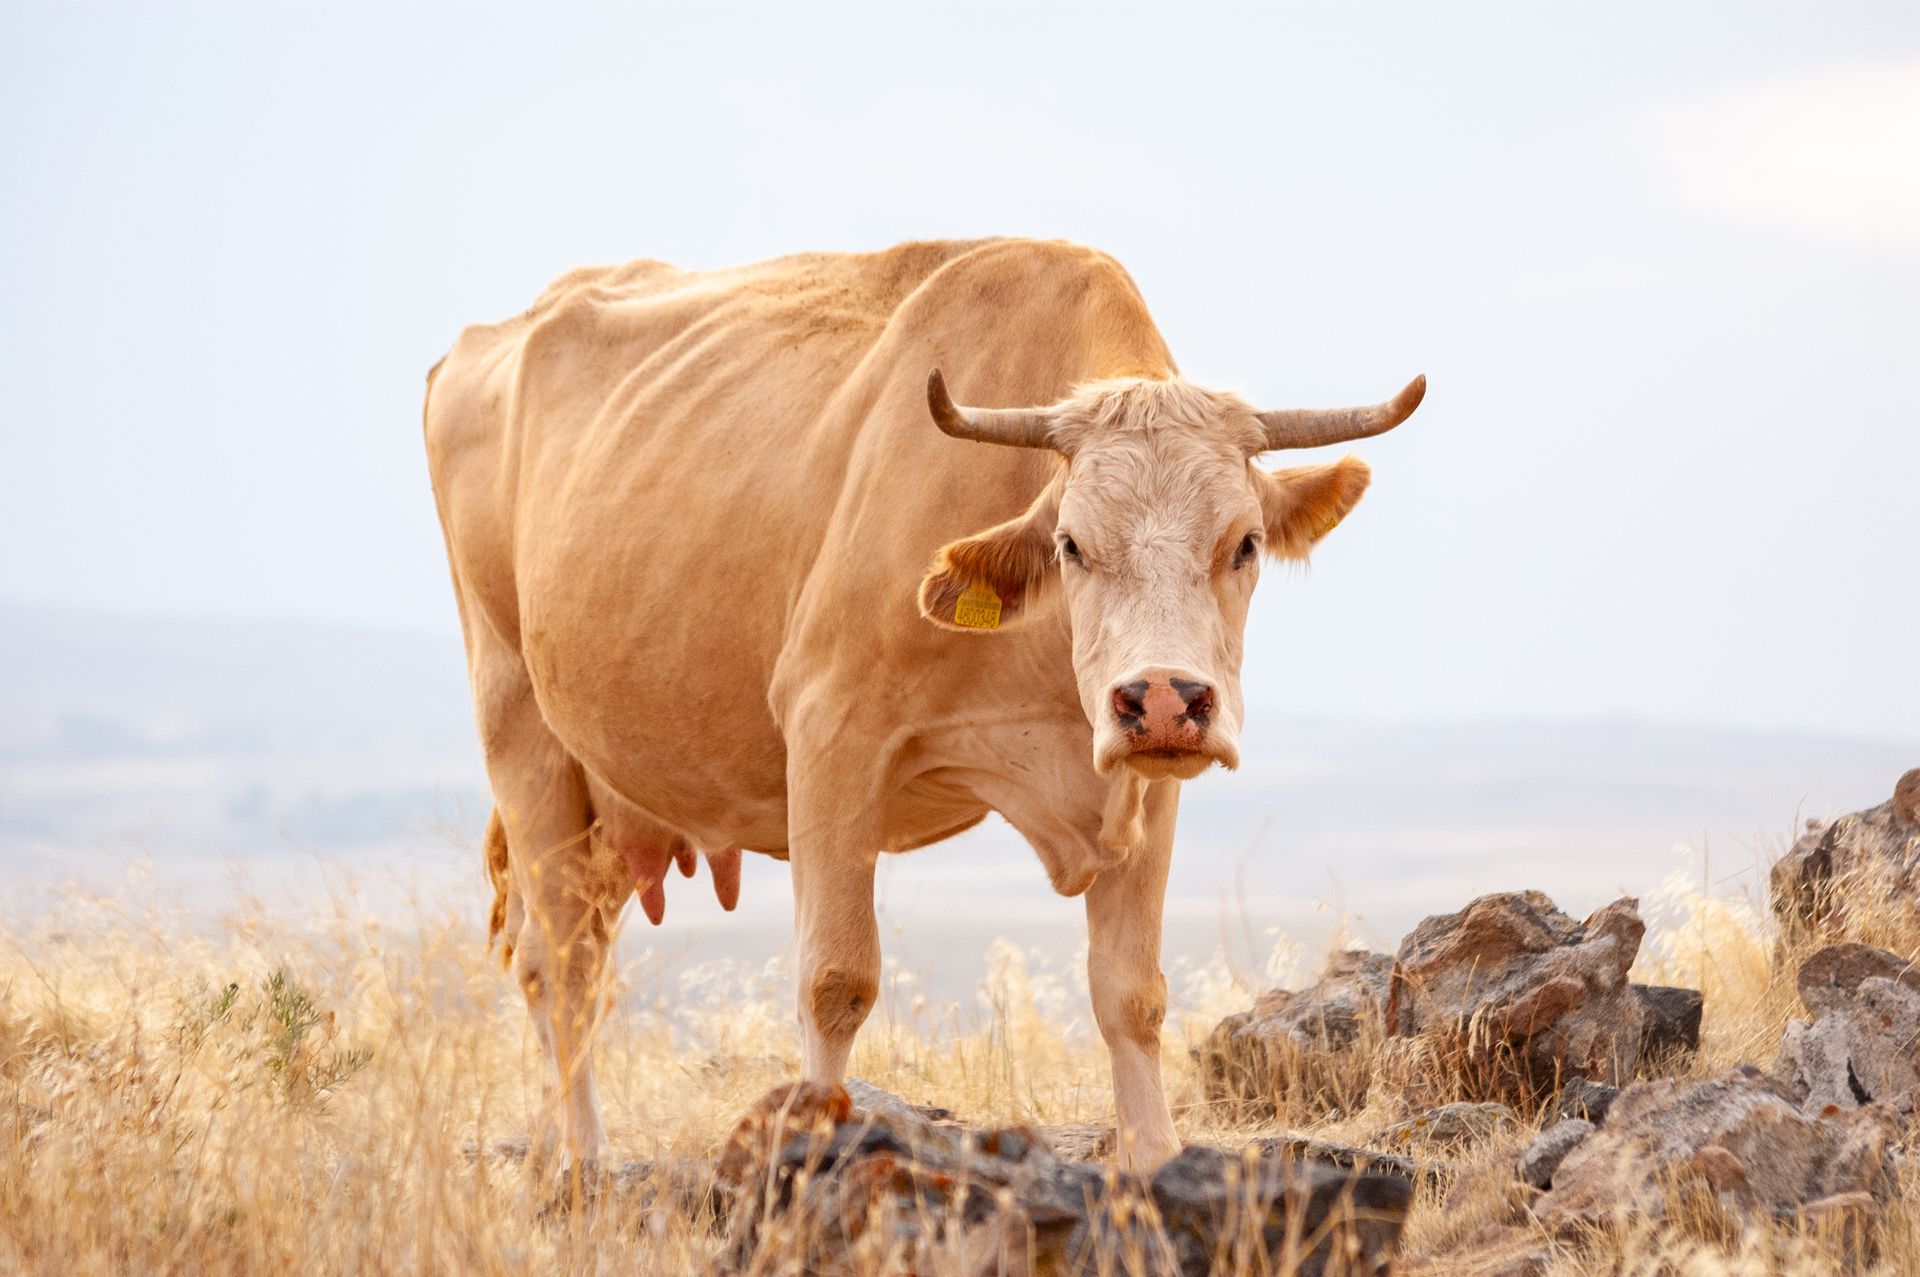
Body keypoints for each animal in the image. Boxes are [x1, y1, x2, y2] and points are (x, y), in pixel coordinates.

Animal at [423, 238, 1423, 1174]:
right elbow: (835, 979)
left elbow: (1131, 993)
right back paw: (581, 1160)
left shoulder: (1145, 783)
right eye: (1072, 544)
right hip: (522, 729)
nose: (1164, 699)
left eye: (1244, 543)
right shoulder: (831, 737)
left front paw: (1155, 1163)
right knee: (562, 962)